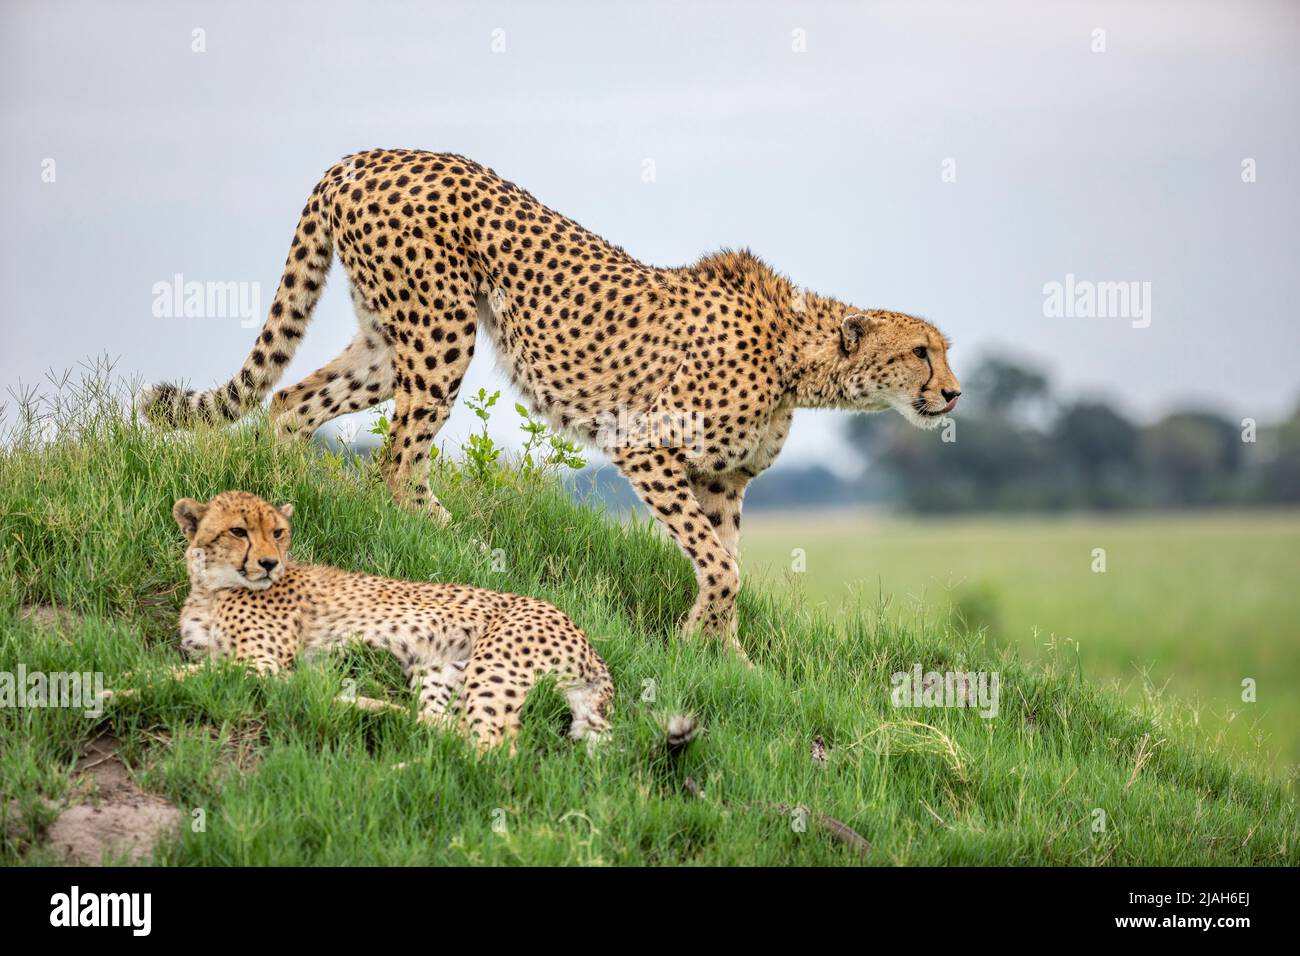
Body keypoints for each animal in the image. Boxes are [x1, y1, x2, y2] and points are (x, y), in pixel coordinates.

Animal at [142, 149, 961, 658]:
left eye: (943, 349)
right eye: (922, 351)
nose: (954, 392)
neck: (800, 358)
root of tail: (367, 155)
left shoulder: (723, 480)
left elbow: (724, 563)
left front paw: (727, 654)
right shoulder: (646, 444)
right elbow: (721, 567)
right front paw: (701, 641)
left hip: (389, 341)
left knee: (291, 403)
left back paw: (289, 508)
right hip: (441, 334)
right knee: (396, 464)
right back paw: (467, 551)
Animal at [165, 494, 611, 754]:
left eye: (277, 532)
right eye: (238, 531)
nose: (270, 563)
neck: (213, 587)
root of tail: (585, 638)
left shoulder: (262, 663)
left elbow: (184, 674)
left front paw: (146, 679)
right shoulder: (222, 656)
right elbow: (198, 668)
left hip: (495, 666)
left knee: (496, 746)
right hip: (439, 671)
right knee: (446, 724)